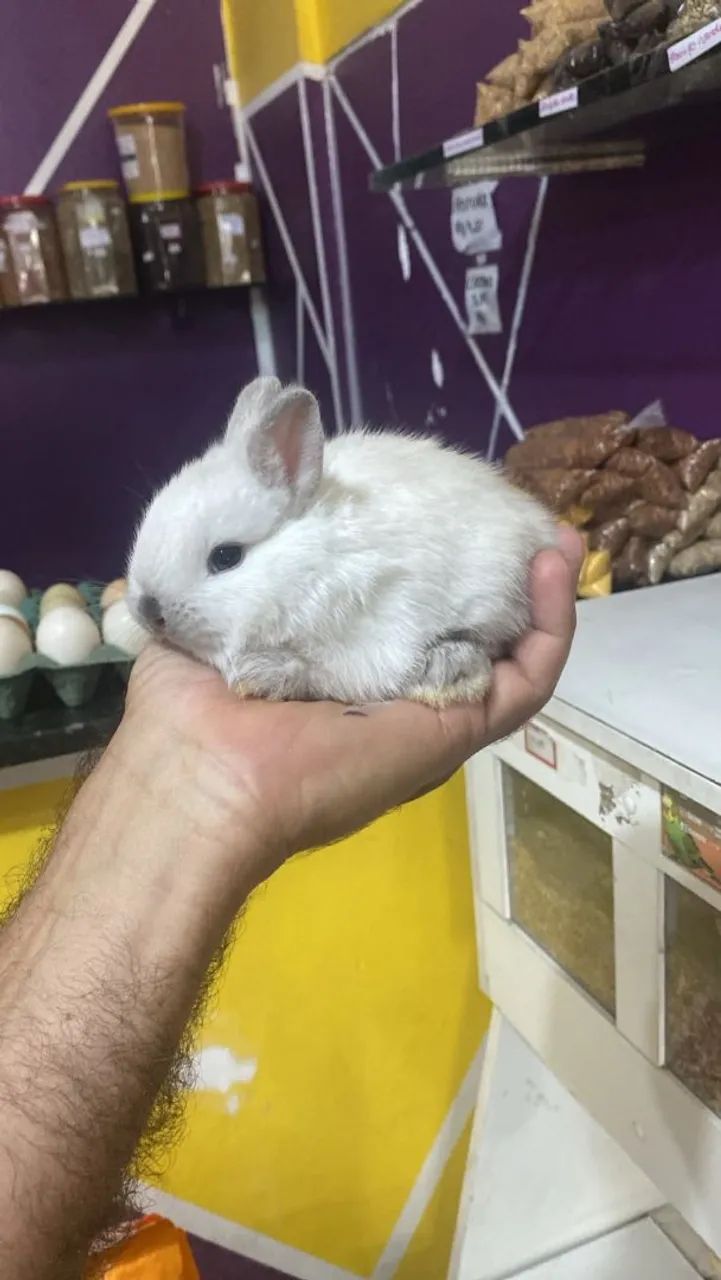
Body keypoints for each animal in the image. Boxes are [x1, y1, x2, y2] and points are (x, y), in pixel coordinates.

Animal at [127, 376, 557, 707]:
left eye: (226, 557)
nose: (147, 610)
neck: (310, 561)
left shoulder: (378, 626)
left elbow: (325, 673)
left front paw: (260, 673)